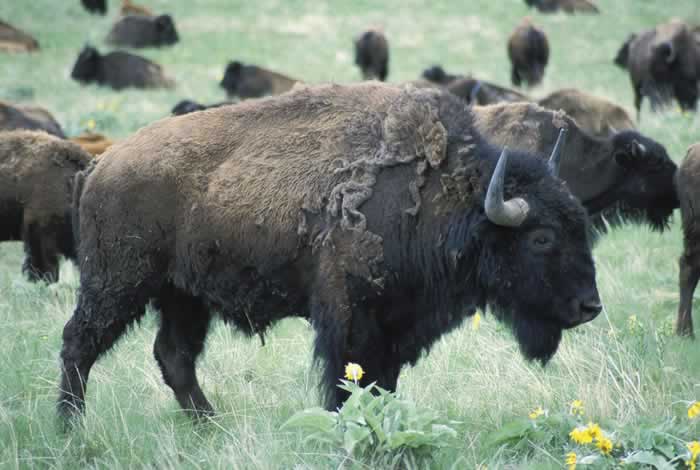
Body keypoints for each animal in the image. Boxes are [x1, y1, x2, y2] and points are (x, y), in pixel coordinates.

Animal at [57, 81, 600, 422]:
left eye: (582, 228)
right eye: (542, 237)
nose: (590, 306)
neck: (441, 197)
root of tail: (100, 167)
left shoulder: (397, 325)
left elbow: (383, 382)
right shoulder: (349, 315)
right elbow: (347, 379)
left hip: (182, 296)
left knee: (174, 357)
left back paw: (209, 426)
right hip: (117, 285)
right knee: (79, 344)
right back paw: (69, 427)